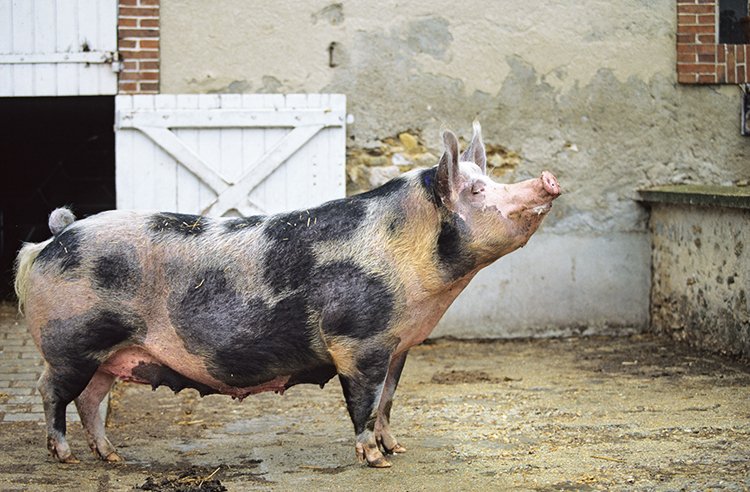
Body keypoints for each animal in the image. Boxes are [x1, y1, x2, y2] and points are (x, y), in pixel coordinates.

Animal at [14, 123, 560, 468]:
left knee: (91, 400)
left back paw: (112, 456)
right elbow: (364, 403)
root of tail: (52, 240)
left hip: (110, 355)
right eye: (475, 192)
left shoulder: (400, 346)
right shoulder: (357, 342)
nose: (548, 179)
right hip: (72, 342)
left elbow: (388, 401)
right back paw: (64, 458)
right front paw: (375, 461)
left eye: (490, 179)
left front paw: (397, 449)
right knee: (51, 391)